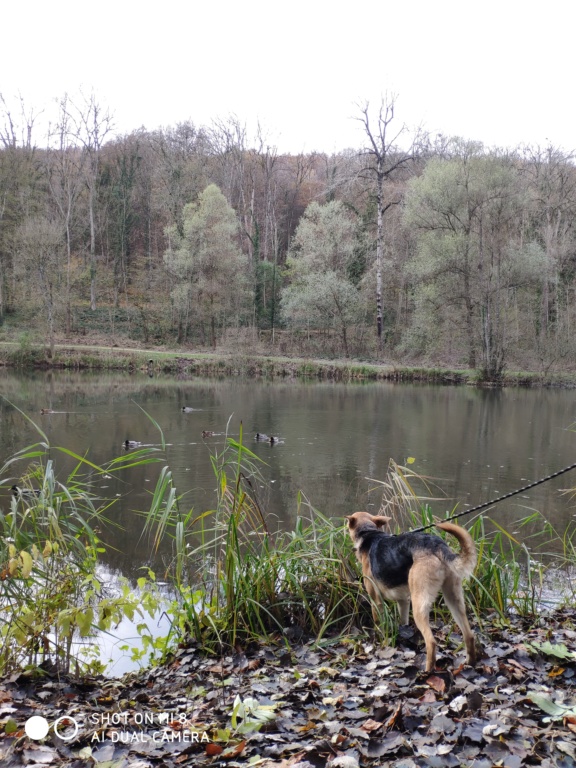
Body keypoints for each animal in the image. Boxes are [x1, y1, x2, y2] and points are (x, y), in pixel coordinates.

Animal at [346, 510, 476, 672]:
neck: (368, 533)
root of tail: (437, 546)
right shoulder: (403, 600)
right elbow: (403, 621)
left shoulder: (376, 600)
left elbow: (378, 625)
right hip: (454, 600)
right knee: (469, 635)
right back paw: (469, 663)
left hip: (419, 605)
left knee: (431, 642)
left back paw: (427, 671)